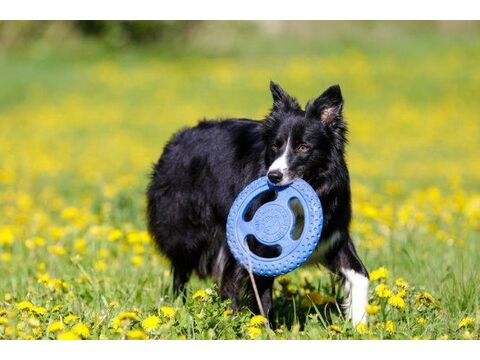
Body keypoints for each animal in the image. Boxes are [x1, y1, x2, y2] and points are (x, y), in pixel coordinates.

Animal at [148, 81, 370, 324]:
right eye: (275, 146)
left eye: (303, 147)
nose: (273, 176)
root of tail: (178, 138)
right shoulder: (257, 246)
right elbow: (261, 295)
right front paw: (263, 327)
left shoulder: (333, 236)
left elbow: (361, 275)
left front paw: (359, 323)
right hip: (187, 229)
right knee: (183, 268)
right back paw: (182, 305)